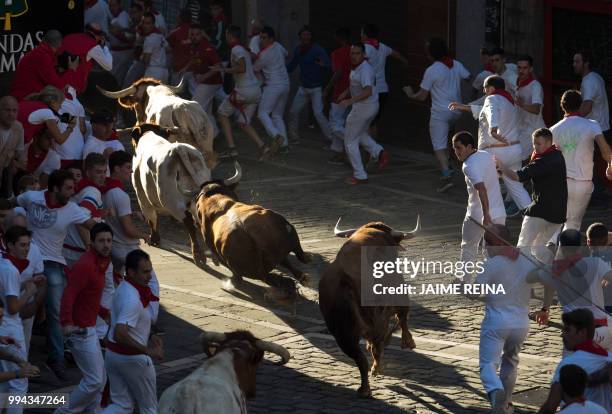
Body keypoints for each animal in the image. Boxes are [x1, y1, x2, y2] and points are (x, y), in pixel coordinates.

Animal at [130, 123, 240, 266]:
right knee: (199, 220)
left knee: (189, 223)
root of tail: (179, 149)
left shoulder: (141, 196)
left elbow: (151, 218)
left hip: (173, 202)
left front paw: (154, 239)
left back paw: (198, 255)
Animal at [318, 217, 418, 398]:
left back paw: (364, 388)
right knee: (377, 345)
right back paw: (376, 369)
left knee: (360, 358)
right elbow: (402, 316)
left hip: (342, 333)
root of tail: (344, 279)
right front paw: (408, 342)